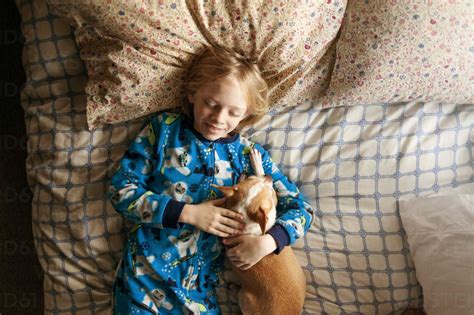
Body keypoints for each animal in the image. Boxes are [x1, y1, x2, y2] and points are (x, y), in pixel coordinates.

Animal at [213, 149, 306, 315]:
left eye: (251, 178)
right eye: (270, 193)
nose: (268, 176)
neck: (242, 218)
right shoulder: (272, 211)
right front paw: (258, 165)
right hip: (246, 298)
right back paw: (233, 288)